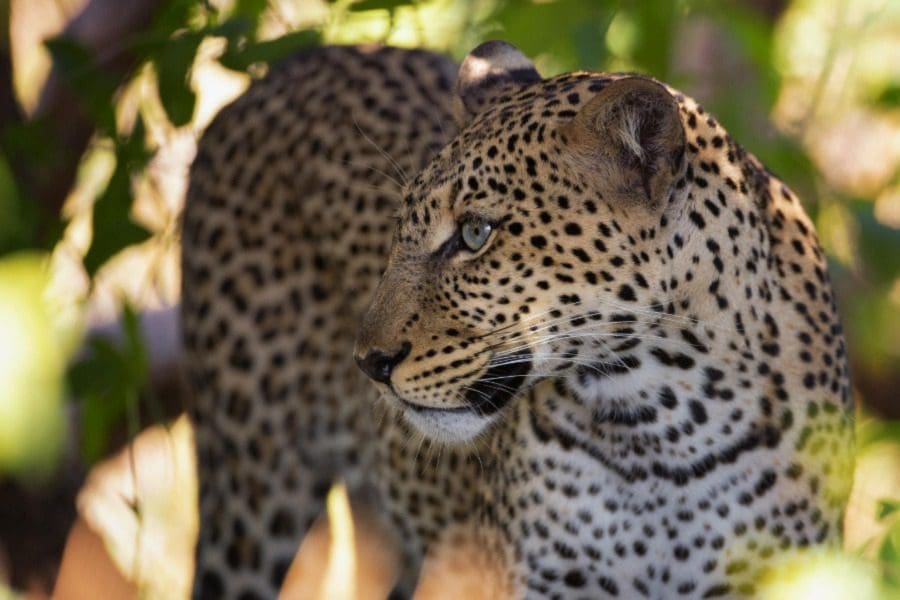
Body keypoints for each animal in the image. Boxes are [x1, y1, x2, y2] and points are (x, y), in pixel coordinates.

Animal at [181, 39, 852, 596]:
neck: (661, 423)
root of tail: (282, 69)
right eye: (399, 233)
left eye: (476, 233)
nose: (369, 364)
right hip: (251, 478)